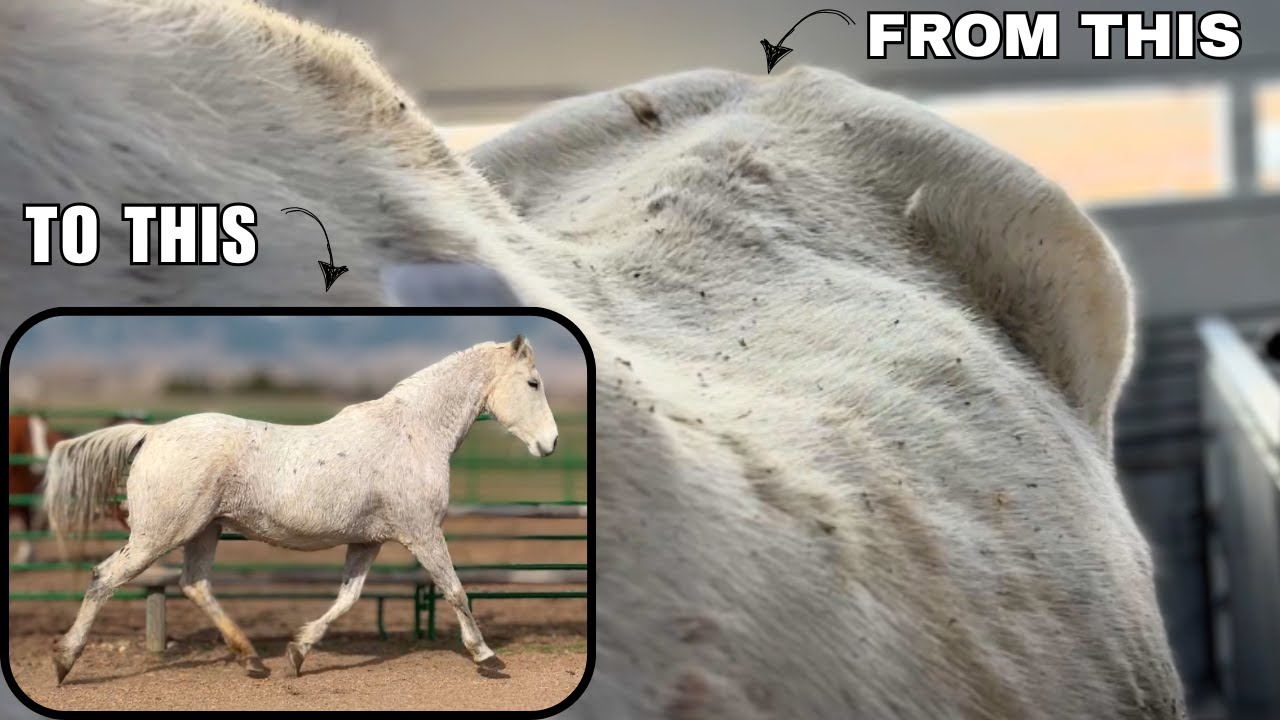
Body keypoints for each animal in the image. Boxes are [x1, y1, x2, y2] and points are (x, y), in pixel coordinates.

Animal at [42, 336, 559, 683]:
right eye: (533, 382)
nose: (551, 443)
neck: (413, 432)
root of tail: (153, 433)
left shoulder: (368, 541)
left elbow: (348, 598)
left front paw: (298, 652)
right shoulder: (423, 532)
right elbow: (455, 591)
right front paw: (488, 658)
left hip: (204, 530)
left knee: (195, 584)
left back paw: (253, 660)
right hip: (159, 535)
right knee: (105, 577)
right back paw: (64, 661)